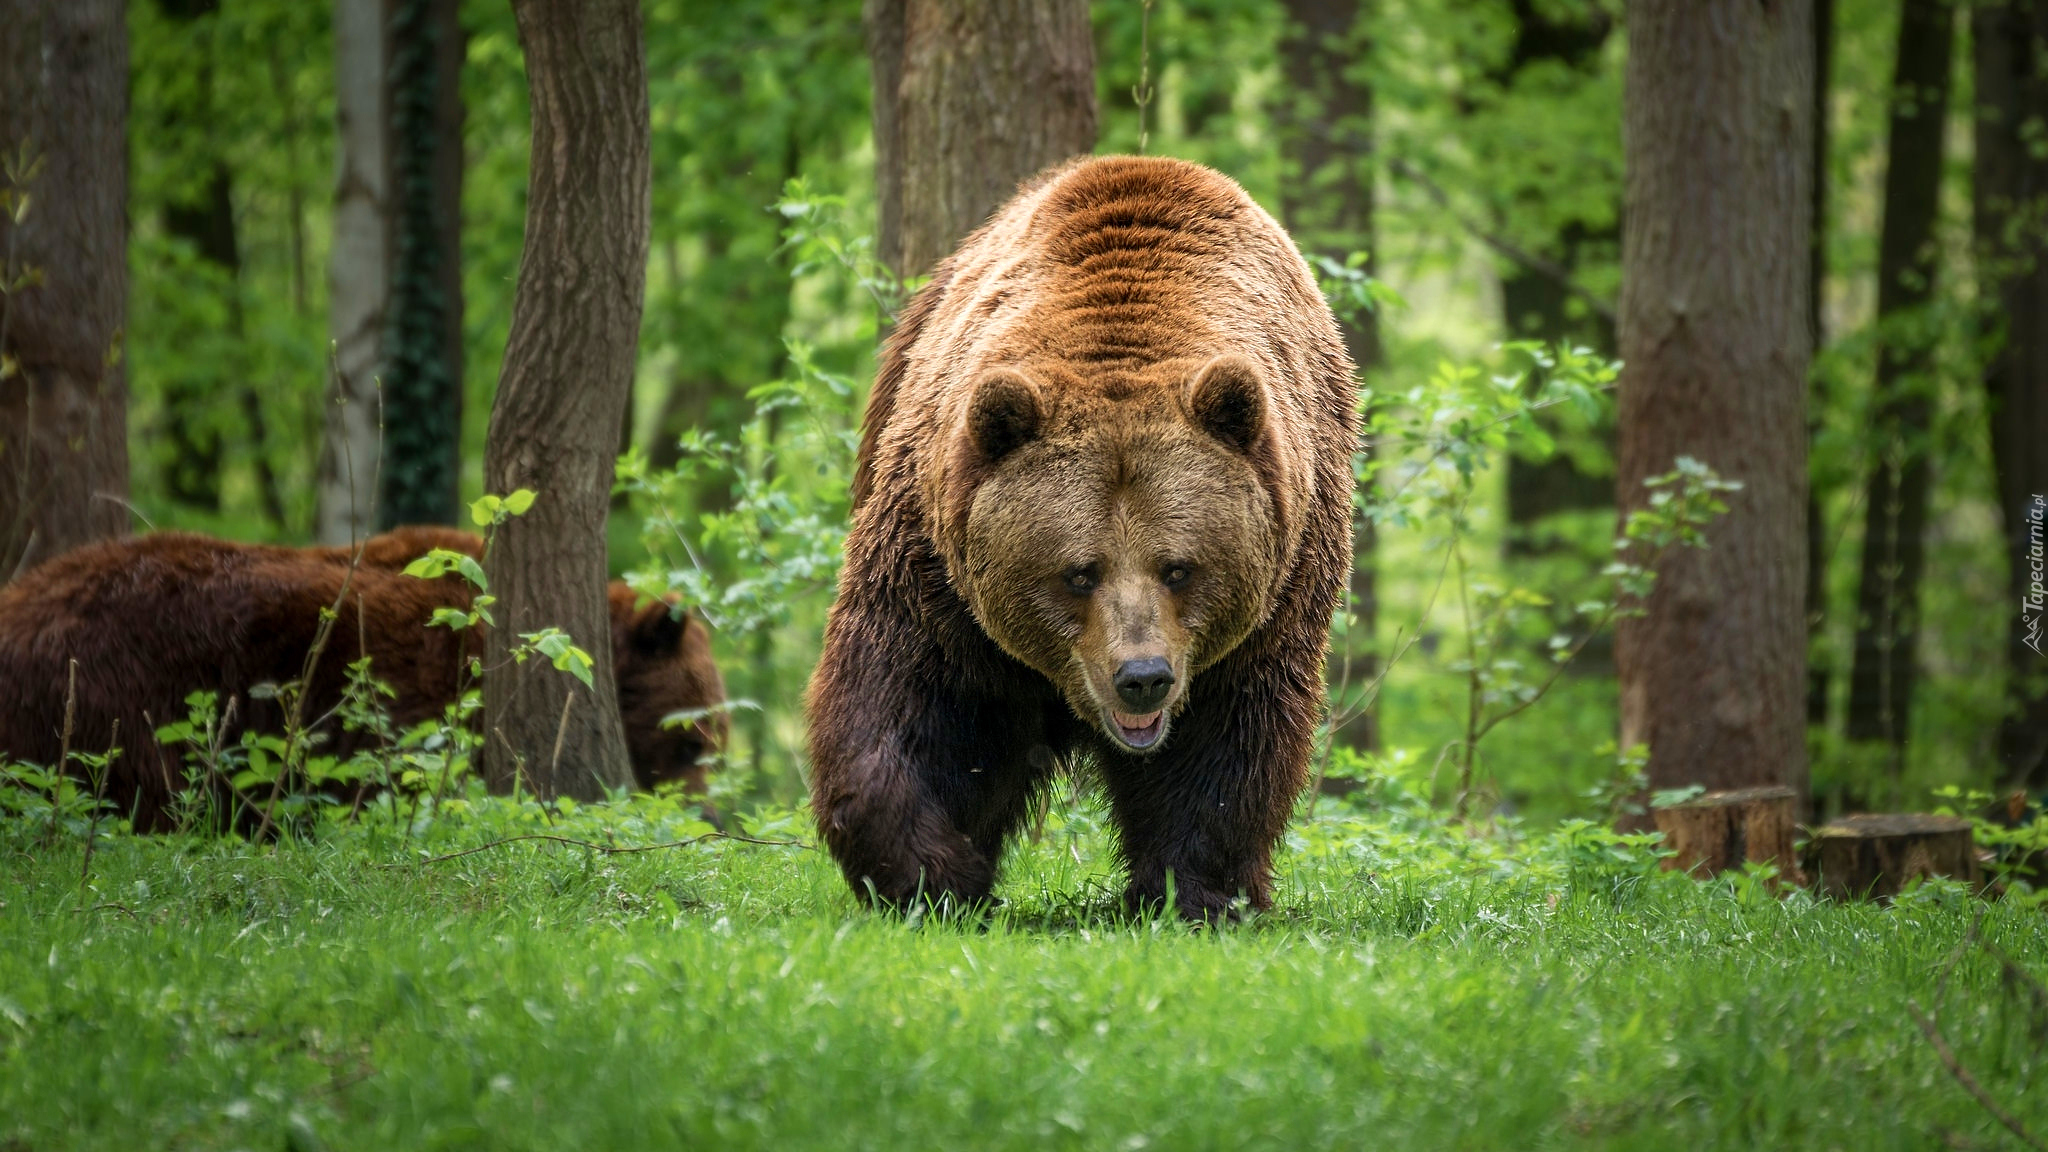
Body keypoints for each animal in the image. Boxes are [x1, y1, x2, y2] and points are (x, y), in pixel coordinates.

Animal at [802, 156, 1359, 918]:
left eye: (1179, 567)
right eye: (1078, 572)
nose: (1142, 677)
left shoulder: (1278, 587)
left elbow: (1229, 742)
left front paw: (1195, 891)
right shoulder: (936, 570)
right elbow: (904, 697)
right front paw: (931, 874)